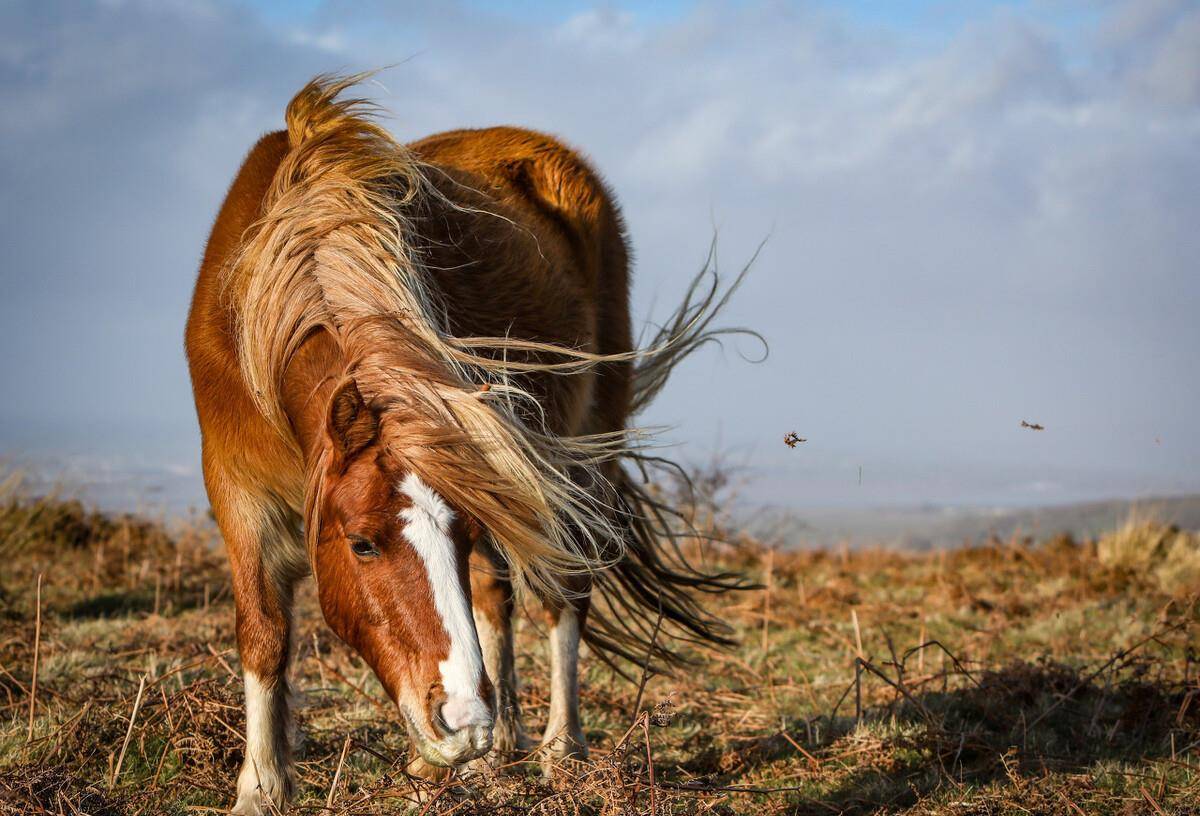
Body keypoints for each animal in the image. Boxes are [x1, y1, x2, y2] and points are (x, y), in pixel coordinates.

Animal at [186, 73, 748, 811]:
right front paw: (262, 785)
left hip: (582, 457)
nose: (463, 722)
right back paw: (498, 745)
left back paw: (556, 750)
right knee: (494, 597)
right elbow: (264, 634)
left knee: (563, 595)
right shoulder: (236, 492)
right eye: (362, 543)